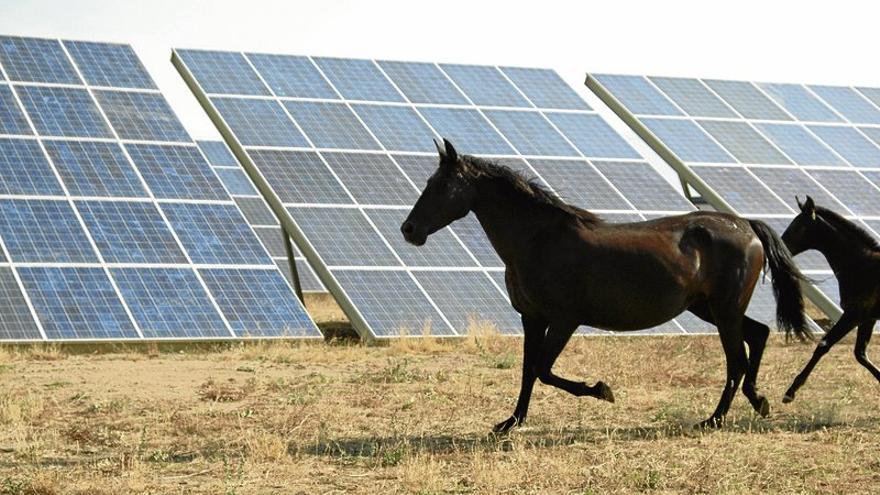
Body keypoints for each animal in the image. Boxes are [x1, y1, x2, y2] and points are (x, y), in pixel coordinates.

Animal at [402, 139, 808, 430]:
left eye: (441, 185)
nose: (409, 230)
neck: (538, 239)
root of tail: (745, 225)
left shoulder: (564, 320)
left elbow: (543, 371)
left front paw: (602, 390)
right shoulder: (531, 318)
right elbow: (528, 370)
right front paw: (510, 423)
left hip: (724, 310)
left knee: (737, 360)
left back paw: (715, 419)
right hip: (710, 308)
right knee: (757, 336)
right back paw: (759, 402)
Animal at [784, 195, 880, 404]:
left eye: (797, 226)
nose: (780, 245)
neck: (861, 264)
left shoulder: (853, 315)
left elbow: (823, 345)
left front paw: (790, 392)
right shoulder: (867, 319)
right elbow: (860, 354)